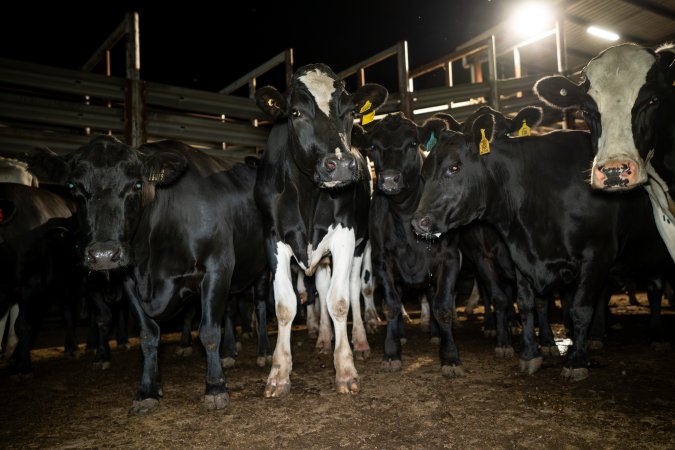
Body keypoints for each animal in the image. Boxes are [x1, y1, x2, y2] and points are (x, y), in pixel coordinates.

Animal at [25, 137, 270, 414]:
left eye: (137, 184)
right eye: (74, 187)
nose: (103, 254)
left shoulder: (217, 266)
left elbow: (208, 331)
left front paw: (216, 387)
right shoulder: (130, 281)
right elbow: (148, 336)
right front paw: (148, 390)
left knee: (260, 305)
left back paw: (263, 352)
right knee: (229, 309)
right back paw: (228, 352)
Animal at [254, 63, 388, 398]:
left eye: (351, 111)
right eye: (295, 113)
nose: (339, 165)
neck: (308, 194)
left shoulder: (345, 236)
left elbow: (340, 302)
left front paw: (346, 369)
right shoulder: (273, 238)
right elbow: (286, 305)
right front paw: (279, 372)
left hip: (360, 245)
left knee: (355, 288)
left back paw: (361, 340)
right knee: (323, 287)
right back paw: (324, 338)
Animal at [412, 107, 672, 382]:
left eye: (454, 167)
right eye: (424, 174)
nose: (419, 221)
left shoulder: (597, 254)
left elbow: (580, 308)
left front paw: (575, 361)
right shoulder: (521, 254)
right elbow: (527, 304)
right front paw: (529, 354)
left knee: (652, 290)